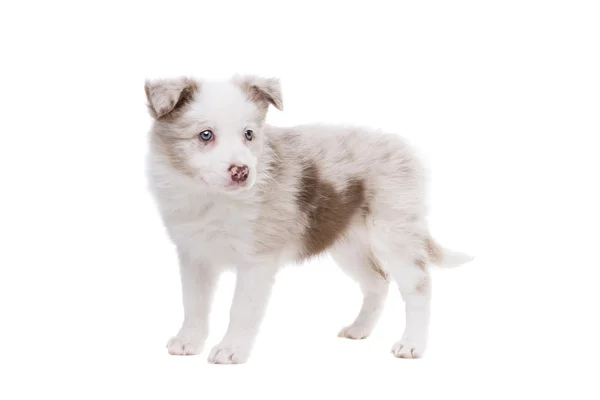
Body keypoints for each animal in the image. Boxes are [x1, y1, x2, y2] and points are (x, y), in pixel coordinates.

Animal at [143, 73, 472, 364]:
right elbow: (194, 303)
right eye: (205, 135)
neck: (211, 198)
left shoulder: (257, 259)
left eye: (249, 134)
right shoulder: (193, 255)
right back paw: (359, 329)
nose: (242, 172)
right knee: (378, 281)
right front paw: (188, 341)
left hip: (395, 232)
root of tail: (405, 149)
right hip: (346, 243)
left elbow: (241, 309)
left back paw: (412, 344)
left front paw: (230, 350)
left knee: (419, 288)